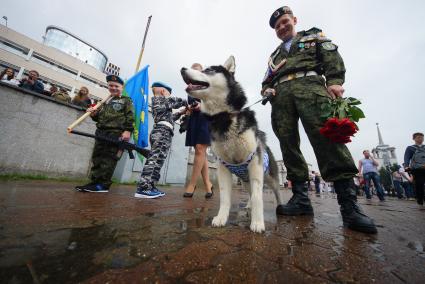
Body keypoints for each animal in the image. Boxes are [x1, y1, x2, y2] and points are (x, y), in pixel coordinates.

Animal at [179, 56, 282, 233]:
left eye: (208, 70)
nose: (182, 69)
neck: (224, 117)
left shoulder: (255, 166)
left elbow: (258, 198)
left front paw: (257, 222)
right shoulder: (223, 167)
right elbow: (225, 197)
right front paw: (221, 218)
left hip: (270, 178)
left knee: (273, 193)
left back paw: (281, 207)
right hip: (246, 180)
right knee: (249, 193)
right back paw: (247, 206)